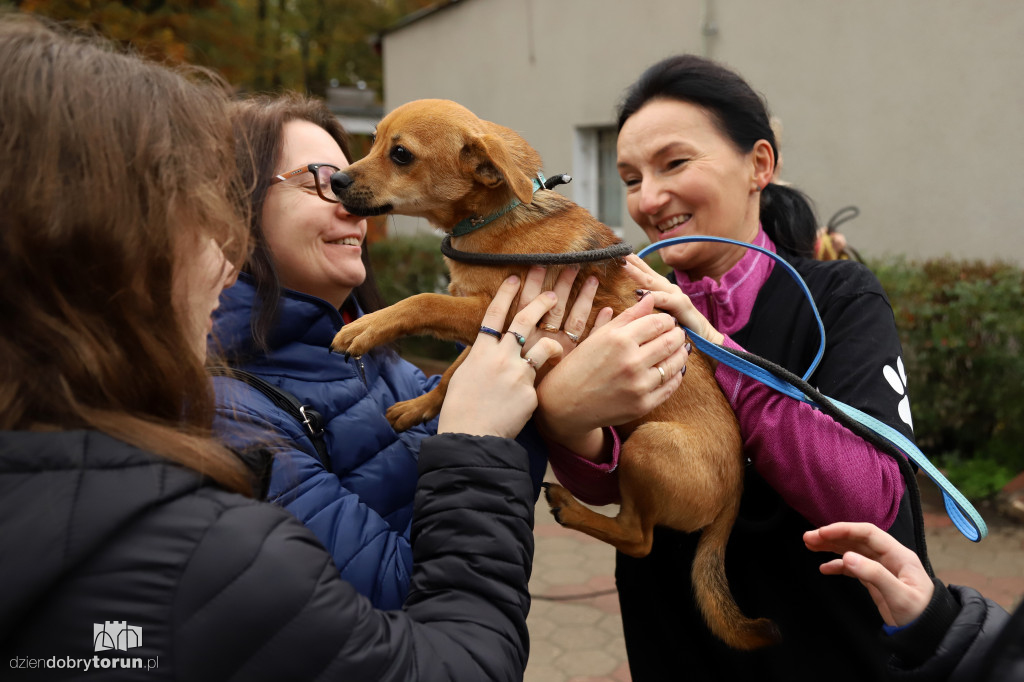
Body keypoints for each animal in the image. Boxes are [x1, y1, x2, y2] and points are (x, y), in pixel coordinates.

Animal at [331, 96, 778, 647]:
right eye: (372, 142)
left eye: (400, 154)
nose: (335, 181)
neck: (497, 216)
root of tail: (735, 495)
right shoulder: (490, 326)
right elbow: (456, 370)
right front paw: (419, 407)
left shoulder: (494, 309)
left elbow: (420, 301)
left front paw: (366, 327)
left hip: (649, 446)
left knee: (639, 538)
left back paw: (573, 507)